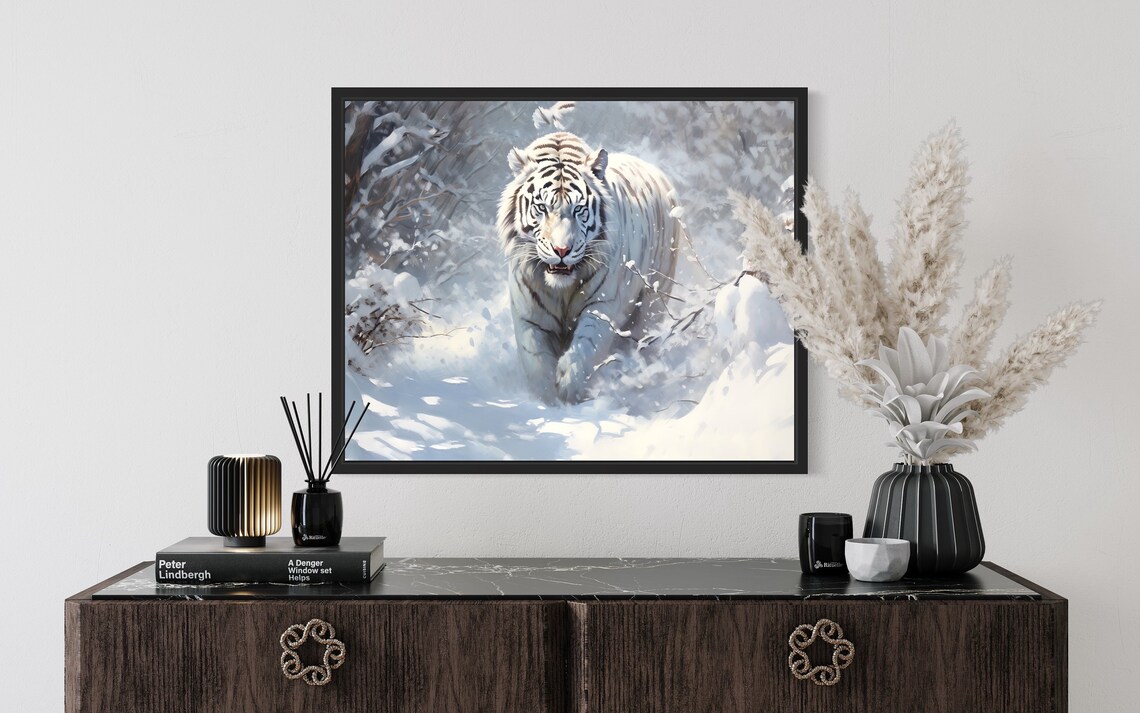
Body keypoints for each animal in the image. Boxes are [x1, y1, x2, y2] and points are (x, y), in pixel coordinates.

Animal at [496, 131, 685, 404]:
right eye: (542, 207)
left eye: (578, 209)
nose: (561, 250)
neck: (561, 289)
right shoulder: (529, 315)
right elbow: (536, 361)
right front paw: (546, 397)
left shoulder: (602, 305)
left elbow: (587, 345)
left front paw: (568, 384)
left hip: (653, 303)